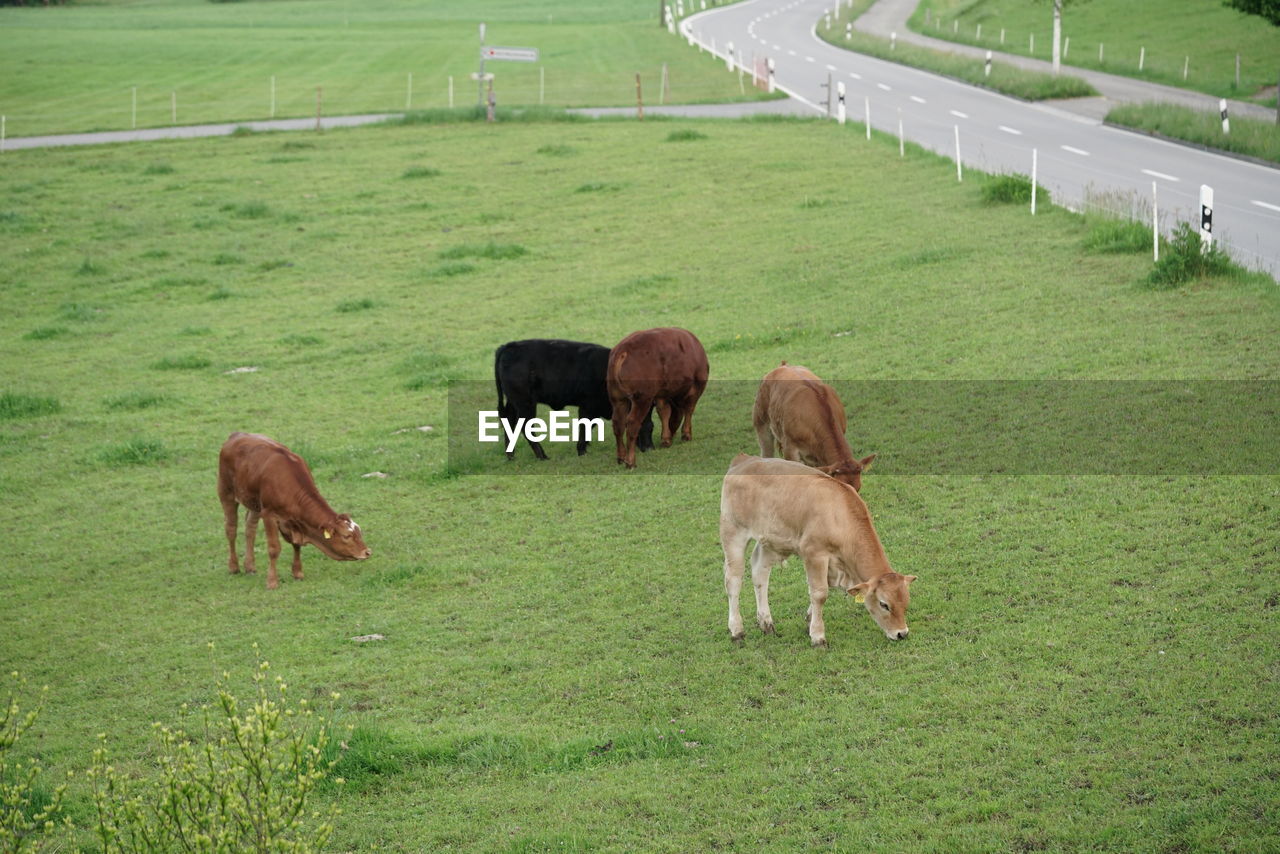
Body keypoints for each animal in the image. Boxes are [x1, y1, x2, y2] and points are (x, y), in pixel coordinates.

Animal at [216, 430, 371, 591]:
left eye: (359, 532)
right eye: (347, 536)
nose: (367, 552)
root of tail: (237, 434)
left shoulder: (295, 523)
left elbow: (296, 545)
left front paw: (298, 573)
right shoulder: (269, 514)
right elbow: (274, 548)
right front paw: (272, 582)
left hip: (254, 503)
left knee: (250, 529)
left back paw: (250, 566)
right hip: (226, 492)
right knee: (231, 529)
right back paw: (234, 567)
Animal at [488, 340, 650, 460]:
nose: (648, 447)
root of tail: (509, 346)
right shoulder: (588, 406)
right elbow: (584, 427)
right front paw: (581, 451)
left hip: (514, 402)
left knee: (510, 421)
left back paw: (511, 456)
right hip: (525, 403)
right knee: (525, 426)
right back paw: (542, 456)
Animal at [606, 327, 711, 471]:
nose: (673, 433)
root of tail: (623, 350)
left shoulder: (662, 394)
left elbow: (664, 412)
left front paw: (666, 439)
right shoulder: (696, 388)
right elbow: (689, 409)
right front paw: (686, 434)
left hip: (617, 399)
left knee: (618, 424)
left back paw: (621, 457)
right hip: (642, 398)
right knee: (632, 424)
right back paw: (631, 461)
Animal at [721, 453, 921, 647]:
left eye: (906, 602)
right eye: (884, 604)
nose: (902, 633)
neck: (839, 515)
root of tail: (745, 459)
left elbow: (822, 589)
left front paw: (809, 621)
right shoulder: (814, 554)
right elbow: (820, 594)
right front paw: (818, 636)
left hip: (771, 540)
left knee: (760, 573)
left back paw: (766, 624)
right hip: (733, 532)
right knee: (733, 580)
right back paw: (737, 631)